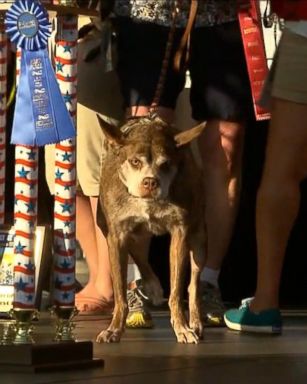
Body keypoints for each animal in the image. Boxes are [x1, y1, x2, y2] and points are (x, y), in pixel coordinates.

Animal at [96, 115, 207, 344]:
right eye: (135, 161)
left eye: (165, 164)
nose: (150, 182)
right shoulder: (116, 235)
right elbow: (119, 292)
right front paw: (114, 329)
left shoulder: (180, 233)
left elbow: (176, 291)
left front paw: (182, 327)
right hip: (110, 227)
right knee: (138, 254)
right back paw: (153, 285)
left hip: (199, 238)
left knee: (194, 282)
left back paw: (195, 321)